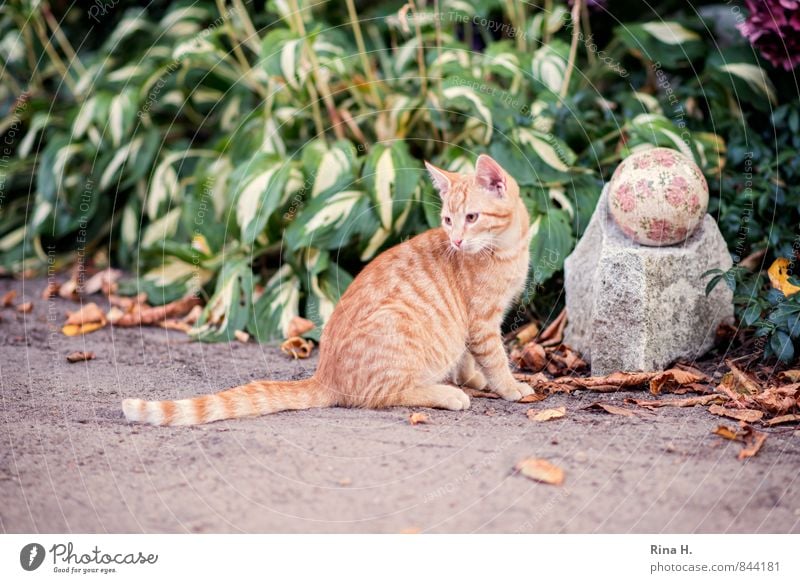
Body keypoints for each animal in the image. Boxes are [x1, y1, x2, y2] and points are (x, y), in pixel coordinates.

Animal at [123, 154, 532, 424]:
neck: (507, 250)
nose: (457, 241)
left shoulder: (471, 325)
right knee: (389, 395)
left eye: (471, 217)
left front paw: (475, 378)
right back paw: (448, 394)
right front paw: (509, 387)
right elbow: (494, 359)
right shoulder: (481, 321)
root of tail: (324, 374)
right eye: (448, 220)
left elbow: (468, 358)